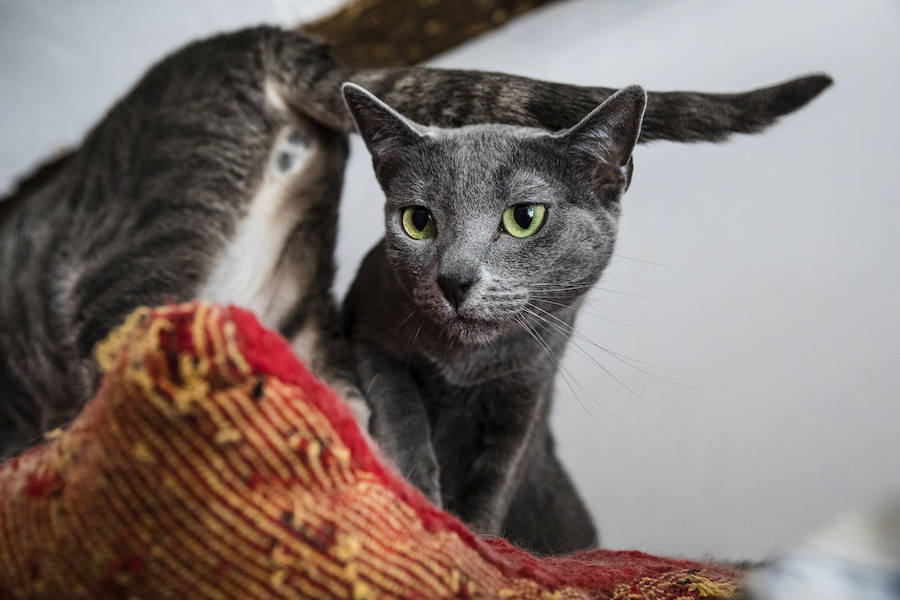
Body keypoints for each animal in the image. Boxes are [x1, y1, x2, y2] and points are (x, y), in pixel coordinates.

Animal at [342, 74, 828, 556]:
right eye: (418, 221)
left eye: (524, 217)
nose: (454, 280)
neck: (466, 362)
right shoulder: (369, 331)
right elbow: (401, 412)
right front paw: (420, 504)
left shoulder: (526, 390)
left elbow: (493, 483)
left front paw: (474, 542)